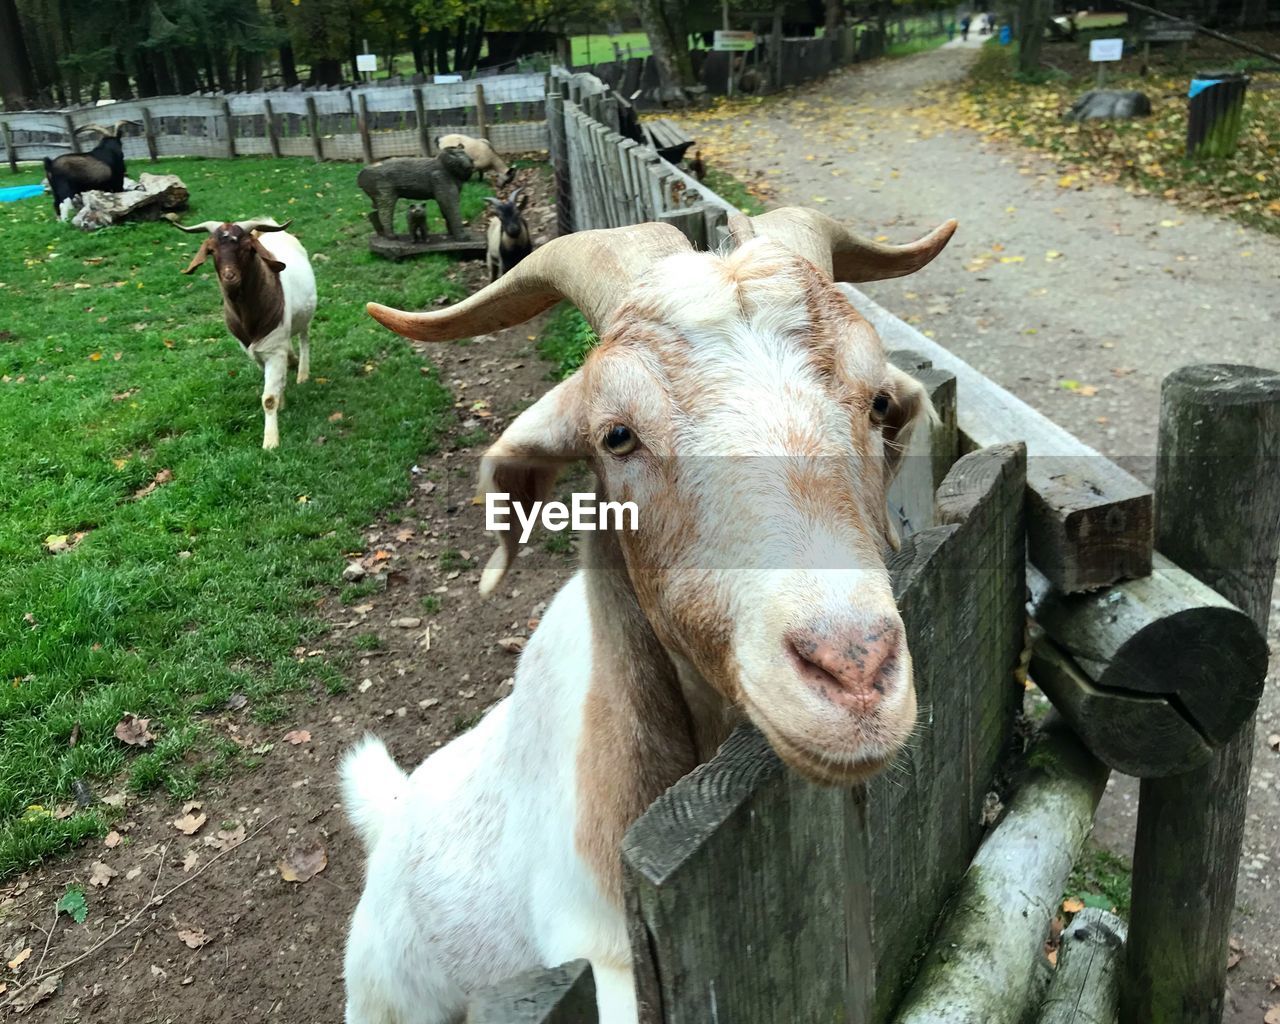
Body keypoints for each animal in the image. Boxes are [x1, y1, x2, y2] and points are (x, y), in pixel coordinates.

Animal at [171, 217, 316, 450]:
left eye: (247, 248)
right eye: (211, 249)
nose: (230, 277)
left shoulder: (273, 350)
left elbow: (268, 398)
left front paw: (270, 442)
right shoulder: (257, 353)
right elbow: (275, 384)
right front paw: (282, 401)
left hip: (305, 316)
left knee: (304, 337)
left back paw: (302, 372)